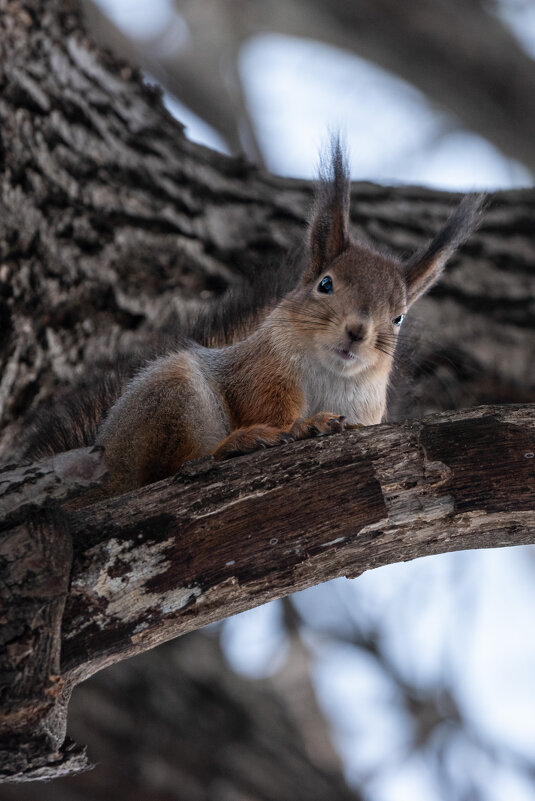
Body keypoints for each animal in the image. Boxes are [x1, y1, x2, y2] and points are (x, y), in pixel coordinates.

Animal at [91, 141, 486, 496]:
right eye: (325, 284)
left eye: (398, 318)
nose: (357, 331)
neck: (330, 374)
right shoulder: (259, 371)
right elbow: (266, 406)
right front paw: (302, 426)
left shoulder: (365, 410)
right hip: (170, 395)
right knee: (171, 470)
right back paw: (241, 443)